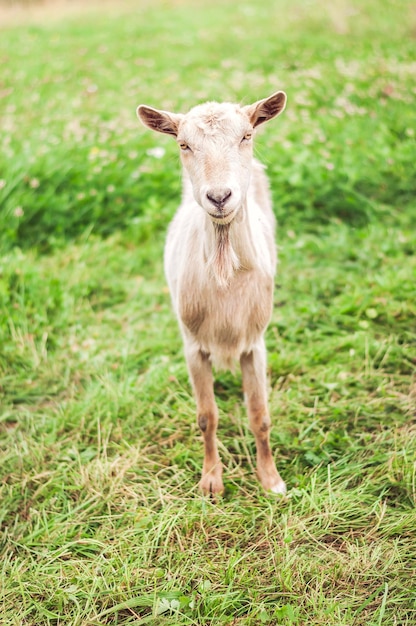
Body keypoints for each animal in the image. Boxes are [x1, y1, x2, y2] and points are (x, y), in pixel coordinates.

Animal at [136, 90, 286, 494]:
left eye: (247, 135)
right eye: (183, 144)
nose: (219, 197)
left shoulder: (255, 343)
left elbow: (260, 414)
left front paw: (271, 481)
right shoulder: (193, 346)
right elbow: (207, 416)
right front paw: (211, 481)